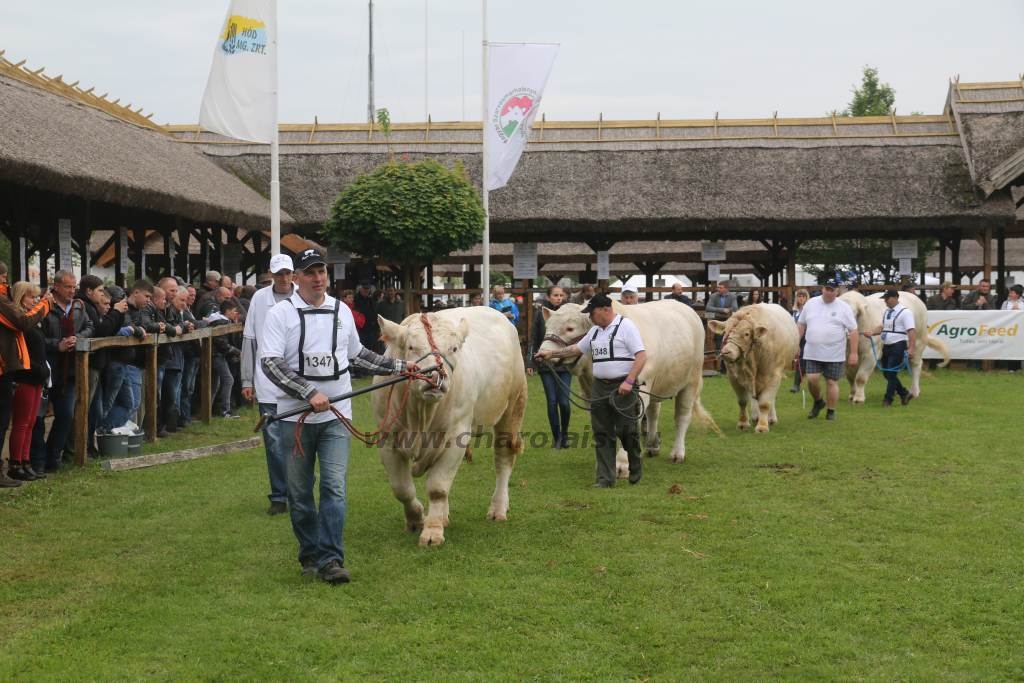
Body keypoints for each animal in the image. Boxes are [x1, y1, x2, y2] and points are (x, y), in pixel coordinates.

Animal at [372, 307, 524, 548]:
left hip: (511, 408)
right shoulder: (387, 440)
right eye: (411, 347)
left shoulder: (456, 437)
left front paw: (432, 532)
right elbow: (402, 489)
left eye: (453, 348)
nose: (435, 376)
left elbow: (437, 488)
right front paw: (416, 519)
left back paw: (498, 508)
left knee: (503, 459)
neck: (420, 415)